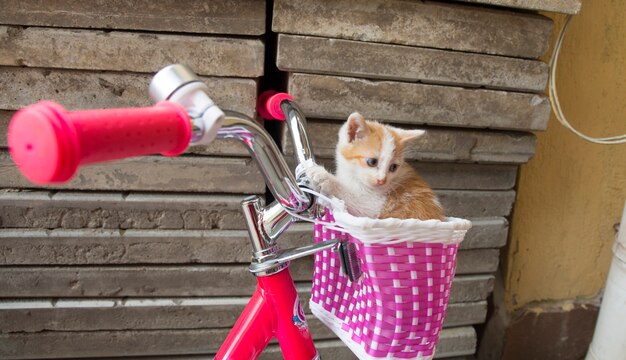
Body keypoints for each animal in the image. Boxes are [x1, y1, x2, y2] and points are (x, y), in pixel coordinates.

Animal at [304, 112, 442, 221]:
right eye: (372, 162)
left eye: (393, 167)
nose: (382, 181)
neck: (353, 176)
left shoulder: (373, 208)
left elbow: (353, 198)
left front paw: (325, 177)